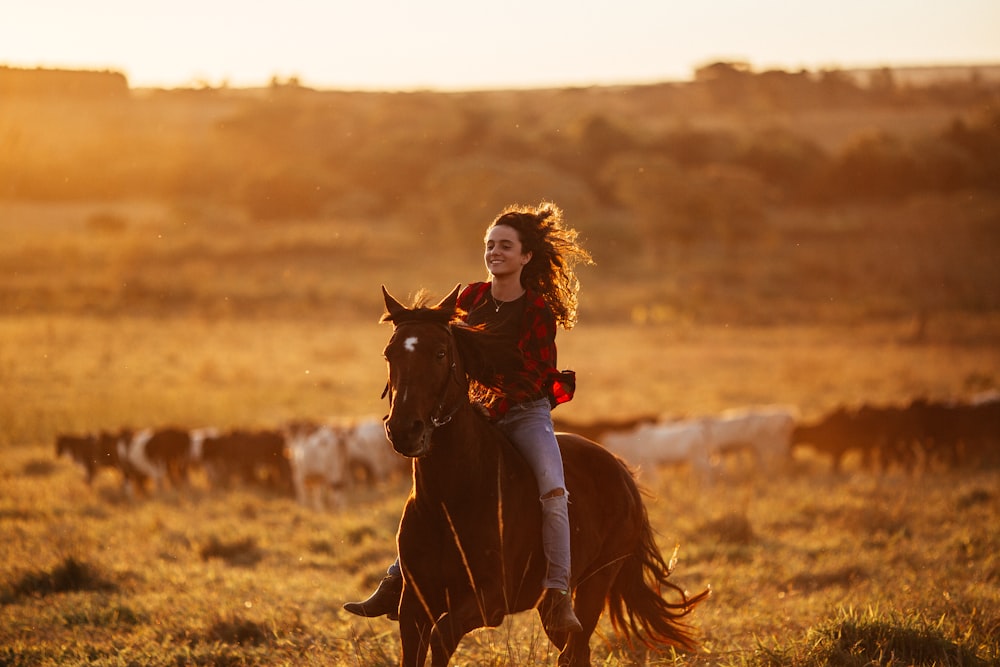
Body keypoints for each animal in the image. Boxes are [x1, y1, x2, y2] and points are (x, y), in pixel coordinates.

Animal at [378, 284, 708, 664]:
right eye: (389, 354)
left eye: (440, 353)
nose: (404, 429)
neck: (453, 498)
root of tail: (621, 472)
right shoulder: (414, 604)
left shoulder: (490, 600)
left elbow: (442, 636)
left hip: (595, 583)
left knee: (574, 649)